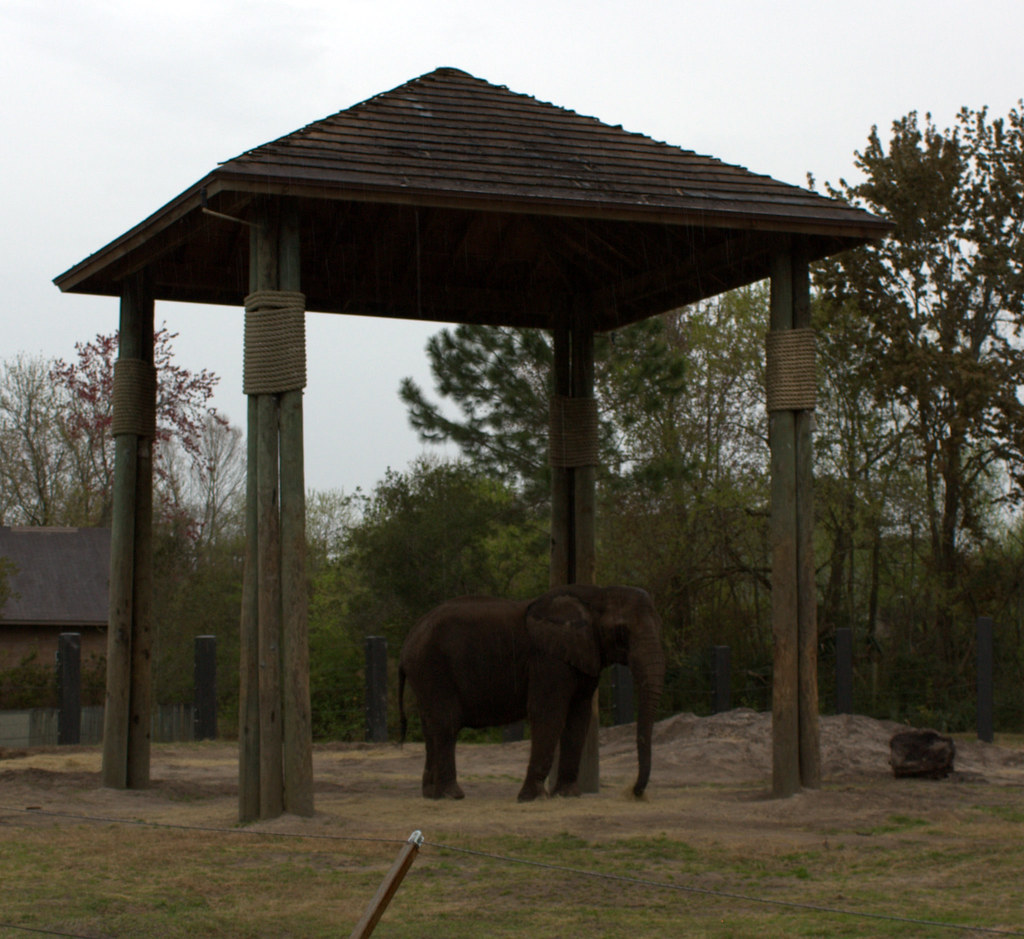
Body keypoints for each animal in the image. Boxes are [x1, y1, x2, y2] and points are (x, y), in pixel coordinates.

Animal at [398, 584, 665, 802]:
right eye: (622, 632)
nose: (635, 792)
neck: (598, 595)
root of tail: (409, 638)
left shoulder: (585, 656)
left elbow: (579, 718)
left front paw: (568, 795)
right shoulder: (548, 659)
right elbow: (548, 713)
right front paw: (533, 798)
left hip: (425, 674)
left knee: (431, 726)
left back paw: (431, 794)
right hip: (433, 667)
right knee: (447, 723)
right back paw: (452, 795)